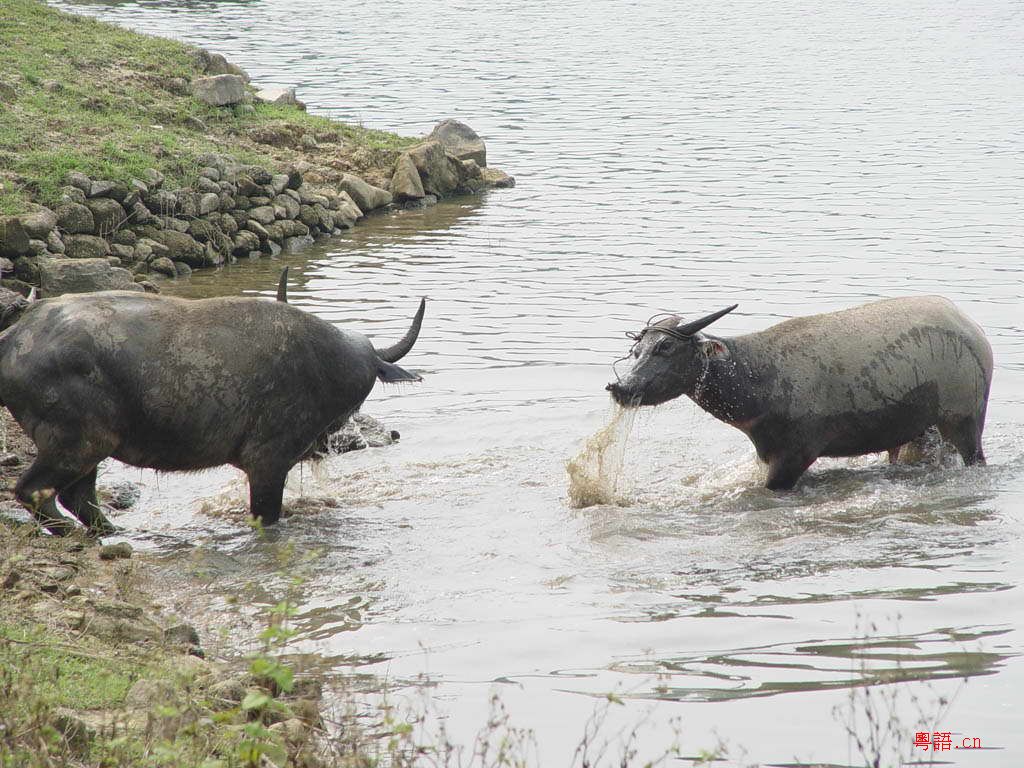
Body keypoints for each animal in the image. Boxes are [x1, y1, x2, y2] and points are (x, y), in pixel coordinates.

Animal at [0, 276, 425, 536]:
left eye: (365, 384)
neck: (325, 363)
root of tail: (15, 337)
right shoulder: (267, 462)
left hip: (90, 449)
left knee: (77, 497)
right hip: (79, 442)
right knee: (34, 491)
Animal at [606, 296, 991, 489]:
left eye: (666, 347)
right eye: (638, 350)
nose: (621, 387)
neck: (758, 380)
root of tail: (974, 332)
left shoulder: (795, 455)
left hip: (965, 422)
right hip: (919, 431)